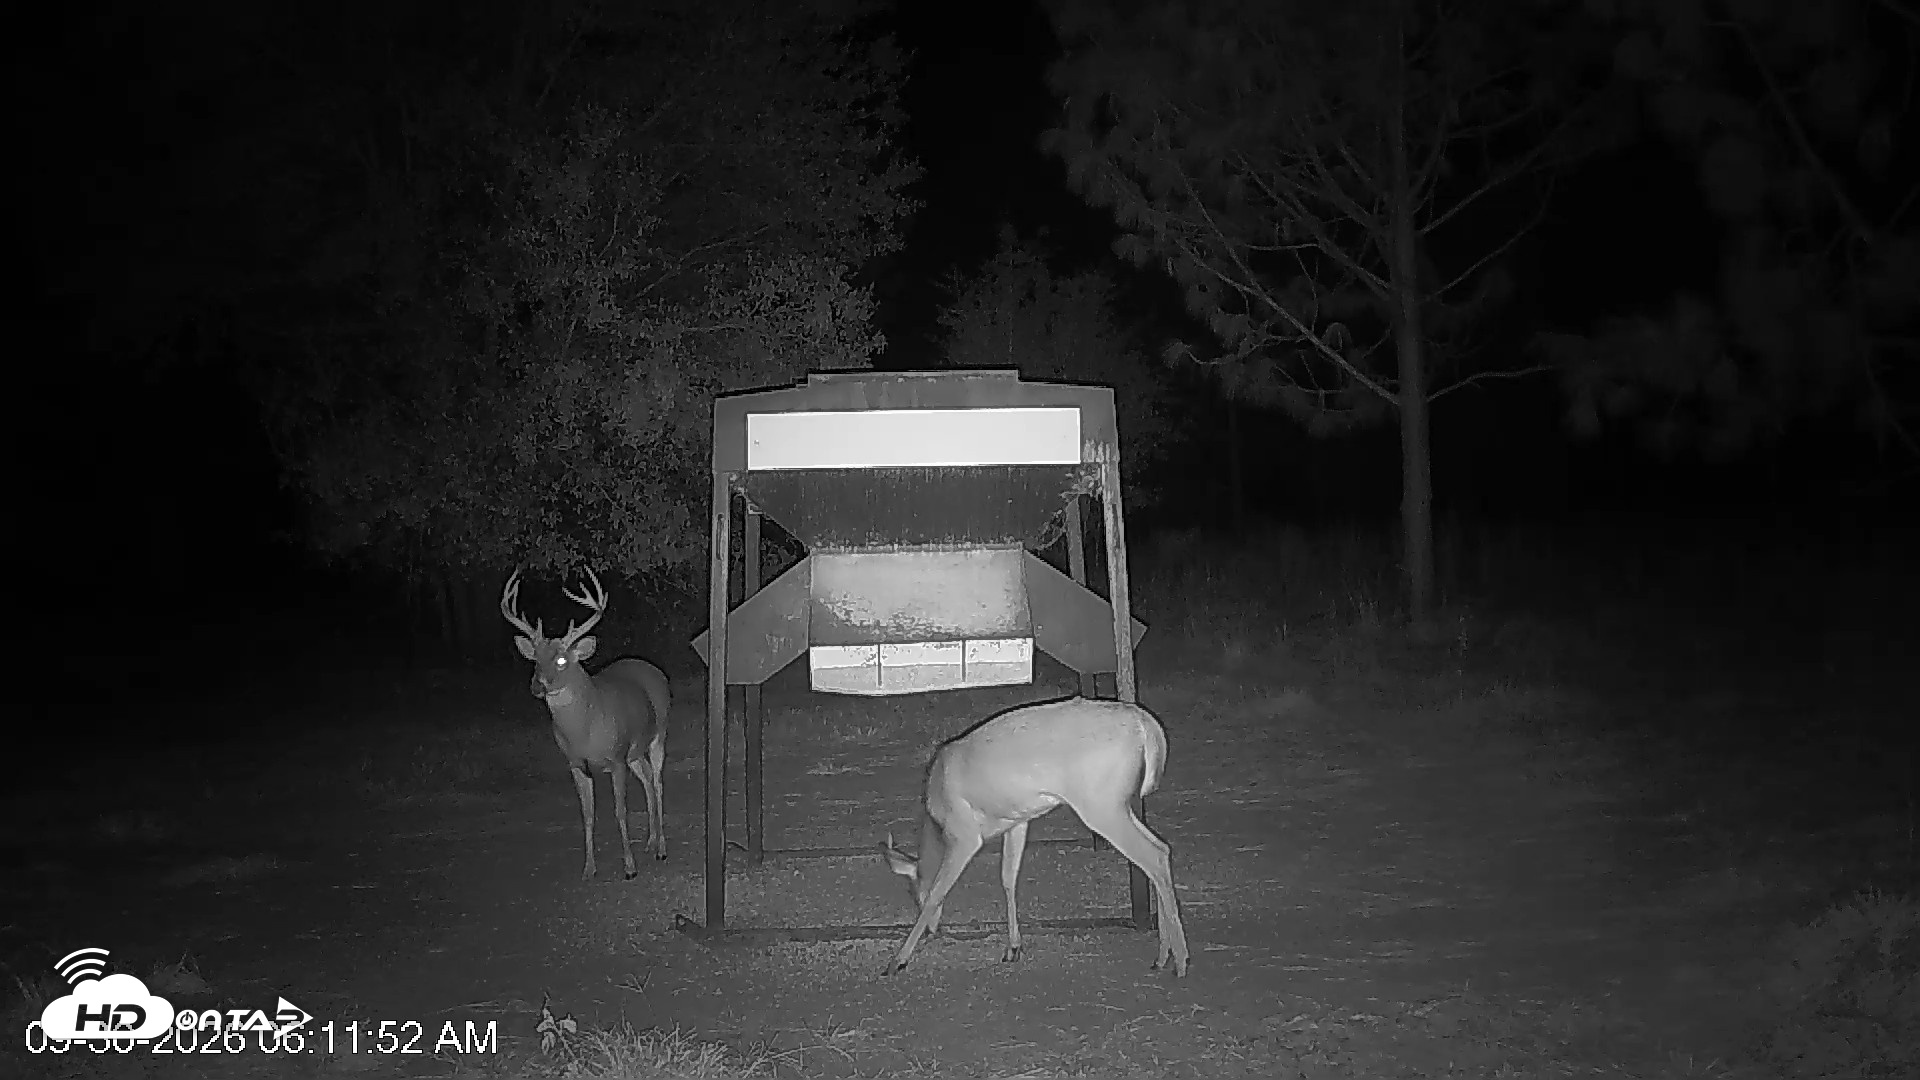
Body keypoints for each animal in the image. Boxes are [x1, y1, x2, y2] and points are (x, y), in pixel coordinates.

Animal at [500, 567, 670, 881]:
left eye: (562, 660)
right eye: (535, 660)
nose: (537, 685)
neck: (584, 728)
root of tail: (653, 669)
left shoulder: (616, 757)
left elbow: (619, 811)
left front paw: (629, 868)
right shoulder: (576, 762)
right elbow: (588, 815)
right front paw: (589, 868)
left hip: (658, 734)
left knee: (658, 782)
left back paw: (661, 848)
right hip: (634, 752)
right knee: (647, 781)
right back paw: (651, 842)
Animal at [881, 697, 1190, 977]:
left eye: (914, 894)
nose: (933, 930)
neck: (937, 819)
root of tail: (1145, 723)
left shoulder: (964, 834)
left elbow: (938, 892)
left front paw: (897, 961)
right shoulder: (1017, 821)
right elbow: (1008, 878)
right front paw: (1013, 948)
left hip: (1100, 804)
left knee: (1153, 855)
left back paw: (1180, 961)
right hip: (1117, 804)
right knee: (1159, 848)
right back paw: (1163, 956)